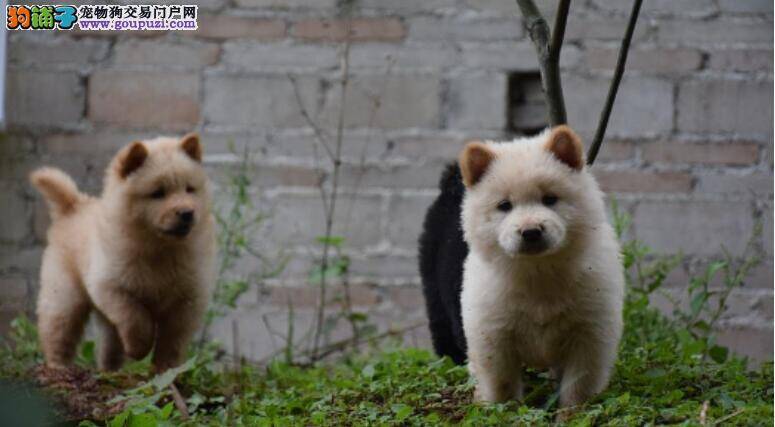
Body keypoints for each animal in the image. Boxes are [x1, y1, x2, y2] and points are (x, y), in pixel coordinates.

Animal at [31, 135, 215, 372]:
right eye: (158, 193)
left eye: (189, 189)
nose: (187, 213)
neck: (160, 248)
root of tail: (73, 206)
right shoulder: (111, 285)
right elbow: (136, 317)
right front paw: (138, 349)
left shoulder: (187, 300)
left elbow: (171, 342)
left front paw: (166, 370)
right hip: (65, 294)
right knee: (59, 332)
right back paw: (58, 367)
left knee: (109, 346)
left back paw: (109, 372)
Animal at [460, 125, 624, 410]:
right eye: (504, 205)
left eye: (550, 199)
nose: (531, 232)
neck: (539, 271)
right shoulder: (494, 331)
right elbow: (501, 382)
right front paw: (506, 412)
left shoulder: (590, 330)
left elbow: (578, 384)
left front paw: (571, 414)